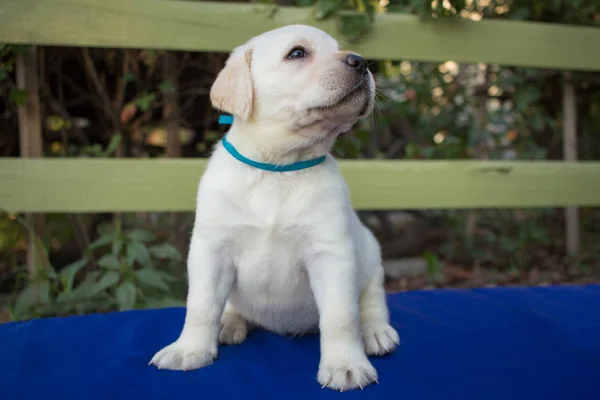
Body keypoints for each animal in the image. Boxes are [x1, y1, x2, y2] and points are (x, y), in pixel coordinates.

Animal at [151, 25, 398, 390]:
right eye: (297, 53)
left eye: (340, 49)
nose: (361, 62)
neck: (278, 168)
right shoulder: (211, 250)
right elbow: (200, 306)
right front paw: (189, 350)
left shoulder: (332, 254)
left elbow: (341, 316)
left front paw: (346, 365)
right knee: (231, 306)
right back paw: (229, 322)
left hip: (369, 254)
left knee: (370, 299)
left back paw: (376, 331)